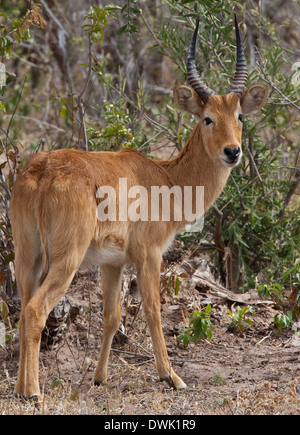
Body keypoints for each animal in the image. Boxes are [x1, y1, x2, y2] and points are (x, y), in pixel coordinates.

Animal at [9, 17, 268, 406]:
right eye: (207, 118)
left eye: (239, 115)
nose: (233, 151)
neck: (165, 177)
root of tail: (42, 171)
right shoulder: (149, 253)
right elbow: (153, 310)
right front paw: (171, 377)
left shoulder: (112, 262)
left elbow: (112, 316)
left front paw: (99, 379)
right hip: (66, 259)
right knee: (36, 310)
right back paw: (35, 393)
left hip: (28, 257)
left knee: (24, 310)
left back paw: (23, 389)